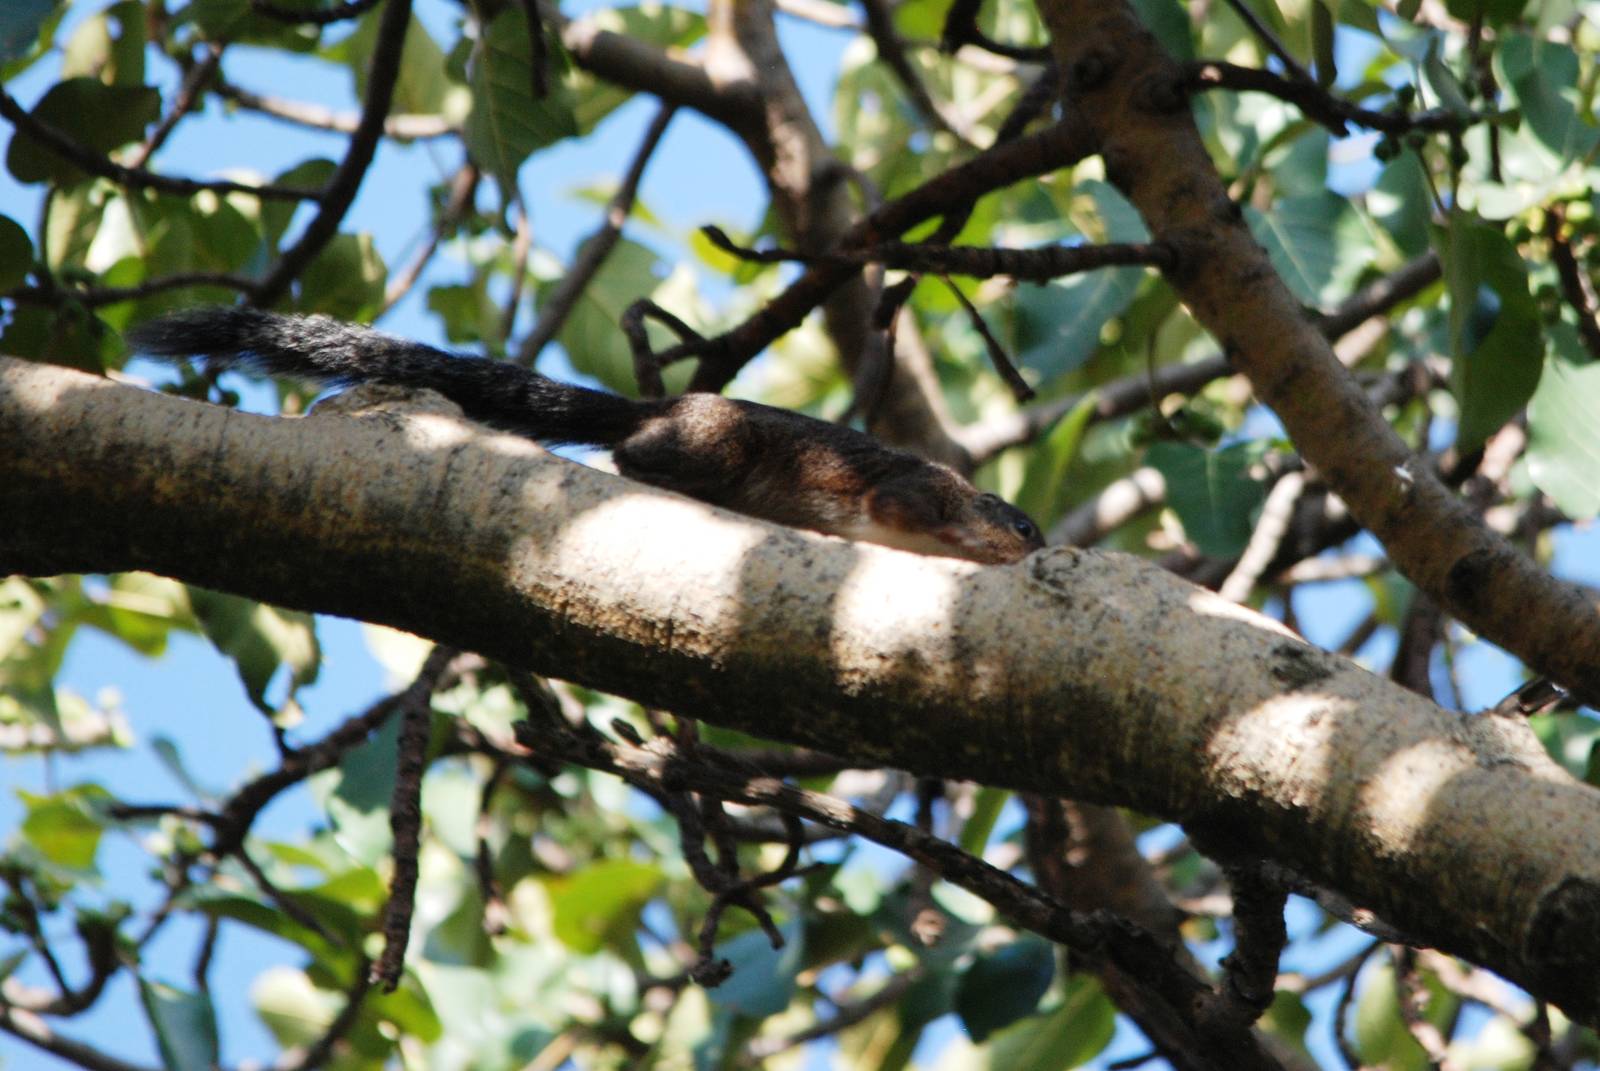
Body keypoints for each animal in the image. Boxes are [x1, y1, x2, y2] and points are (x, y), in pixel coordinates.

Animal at [126, 308, 1045, 564]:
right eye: (1026, 523)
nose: (1036, 550)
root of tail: (655, 408)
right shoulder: (911, 489)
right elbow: (891, 506)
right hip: (710, 443)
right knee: (631, 454)